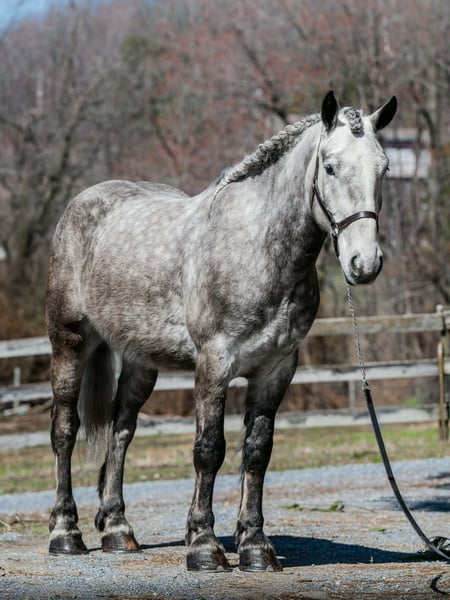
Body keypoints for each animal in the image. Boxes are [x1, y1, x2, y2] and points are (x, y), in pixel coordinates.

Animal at [46, 91, 397, 571]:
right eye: (329, 166)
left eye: (384, 167)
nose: (364, 263)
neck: (256, 247)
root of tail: (83, 203)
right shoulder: (214, 365)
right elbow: (208, 450)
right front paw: (204, 545)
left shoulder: (275, 371)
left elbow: (257, 452)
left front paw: (254, 546)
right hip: (70, 342)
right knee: (65, 428)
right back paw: (65, 532)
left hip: (141, 361)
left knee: (121, 429)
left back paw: (118, 529)